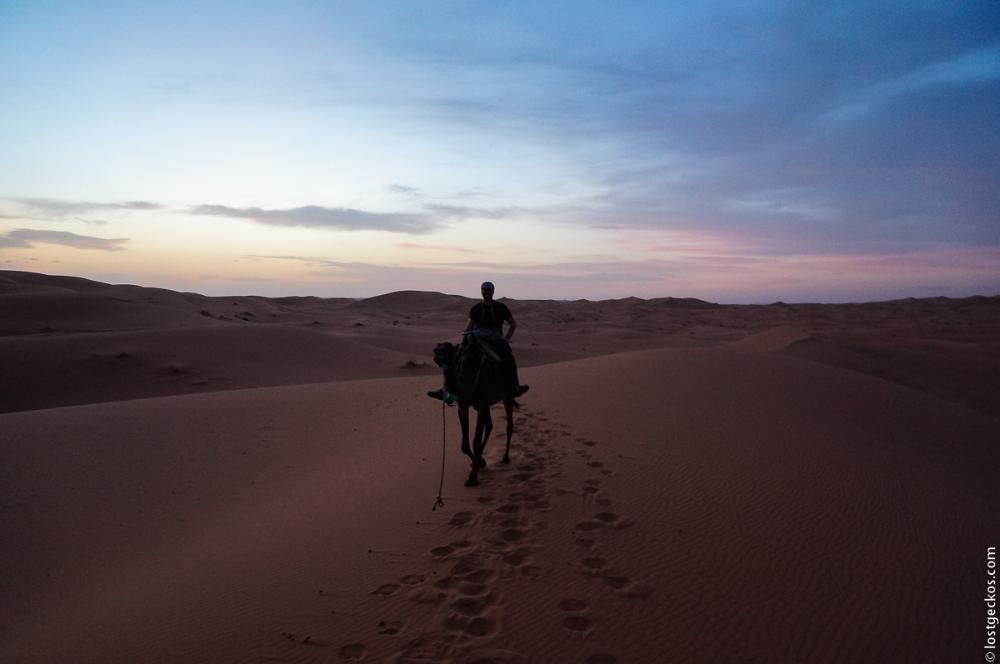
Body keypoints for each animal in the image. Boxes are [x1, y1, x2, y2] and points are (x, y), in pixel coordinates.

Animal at [432, 331, 517, 487]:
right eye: (437, 352)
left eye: (451, 353)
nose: (438, 355)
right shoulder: (464, 406)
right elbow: (465, 445)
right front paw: (480, 463)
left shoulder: (482, 403)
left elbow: (475, 442)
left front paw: (473, 478)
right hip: (487, 404)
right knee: (489, 426)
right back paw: (480, 460)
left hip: (506, 396)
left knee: (509, 425)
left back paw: (505, 458)